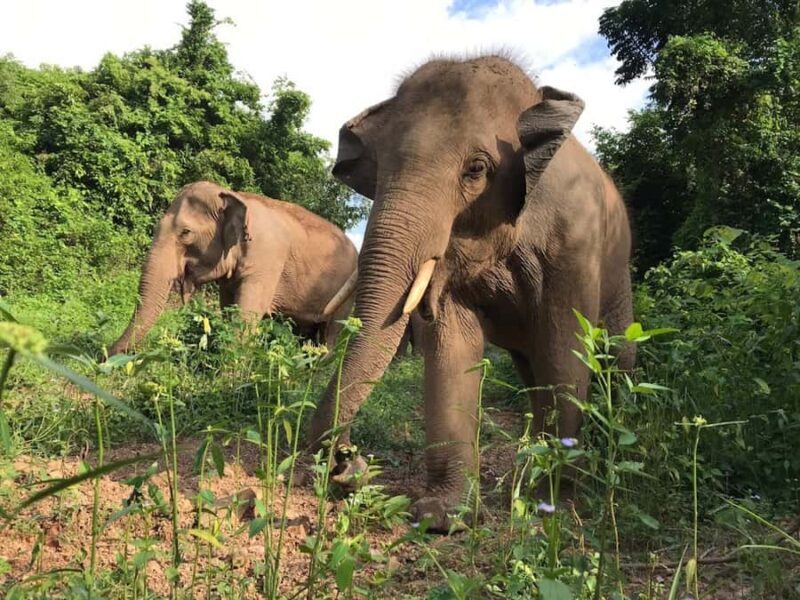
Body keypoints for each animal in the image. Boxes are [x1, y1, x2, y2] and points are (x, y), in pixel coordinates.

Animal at [109, 180, 358, 355]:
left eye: (186, 232)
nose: (105, 356)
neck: (234, 195)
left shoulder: (266, 260)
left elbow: (247, 312)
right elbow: (228, 307)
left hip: (345, 301)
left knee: (331, 334)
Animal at [308, 55, 635, 531]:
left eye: (477, 169)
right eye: (379, 170)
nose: (349, 464)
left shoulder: (576, 242)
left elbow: (566, 347)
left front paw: (550, 504)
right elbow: (452, 345)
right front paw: (442, 517)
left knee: (615, 355)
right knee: (531, 371)